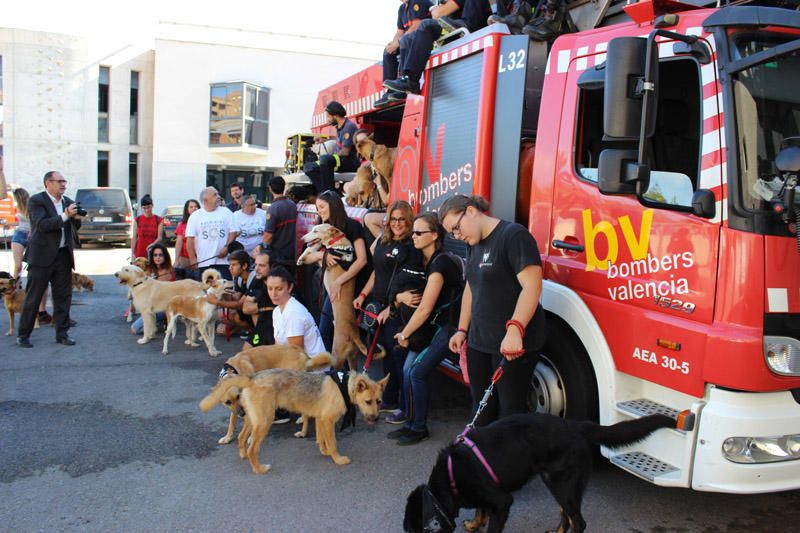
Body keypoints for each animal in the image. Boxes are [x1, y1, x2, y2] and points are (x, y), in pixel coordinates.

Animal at [198, 368, 390, 472]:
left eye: (379, 401)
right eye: (368, 402)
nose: (375, 418)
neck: (345, 385)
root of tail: (252, 377)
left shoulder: (321, 419)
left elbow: (322, 440)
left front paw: (325, 452)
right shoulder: (328, 420)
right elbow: (333, 443)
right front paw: (337, 459)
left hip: (253, 420)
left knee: (241, 438)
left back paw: (244, 456)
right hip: (264, 422)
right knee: (253, 448)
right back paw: (259, 469)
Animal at [296, 223, 384, 370]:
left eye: (316, 230)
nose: (302, 239)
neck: (337, 243)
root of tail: (354, 335)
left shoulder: (324, 260)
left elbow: (314, 250)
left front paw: (302, 257)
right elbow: (313, 248)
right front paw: (301, 258)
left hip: (337, 353)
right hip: (352, 357)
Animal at [406, 412, 676, 532]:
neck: (449, 477)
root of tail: (576, 426)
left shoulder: (502, 501)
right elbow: (480, 510)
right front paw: (474, 523)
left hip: (562, 483)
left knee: (578, 521)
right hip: (559, 482)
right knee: (567, 515)